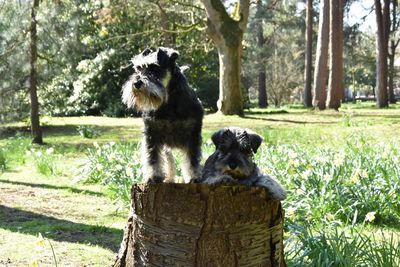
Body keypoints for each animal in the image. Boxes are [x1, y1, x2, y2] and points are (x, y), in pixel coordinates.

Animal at [122, 47, 203, 184]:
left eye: (154, 67)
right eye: (138, 68)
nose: (136, 83)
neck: (169, 102)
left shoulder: (193, 135)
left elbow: (192, 159)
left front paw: (194, 177)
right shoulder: (152, 134)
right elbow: (153, 158)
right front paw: (153, 176)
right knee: (168, 160)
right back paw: (168, 178)